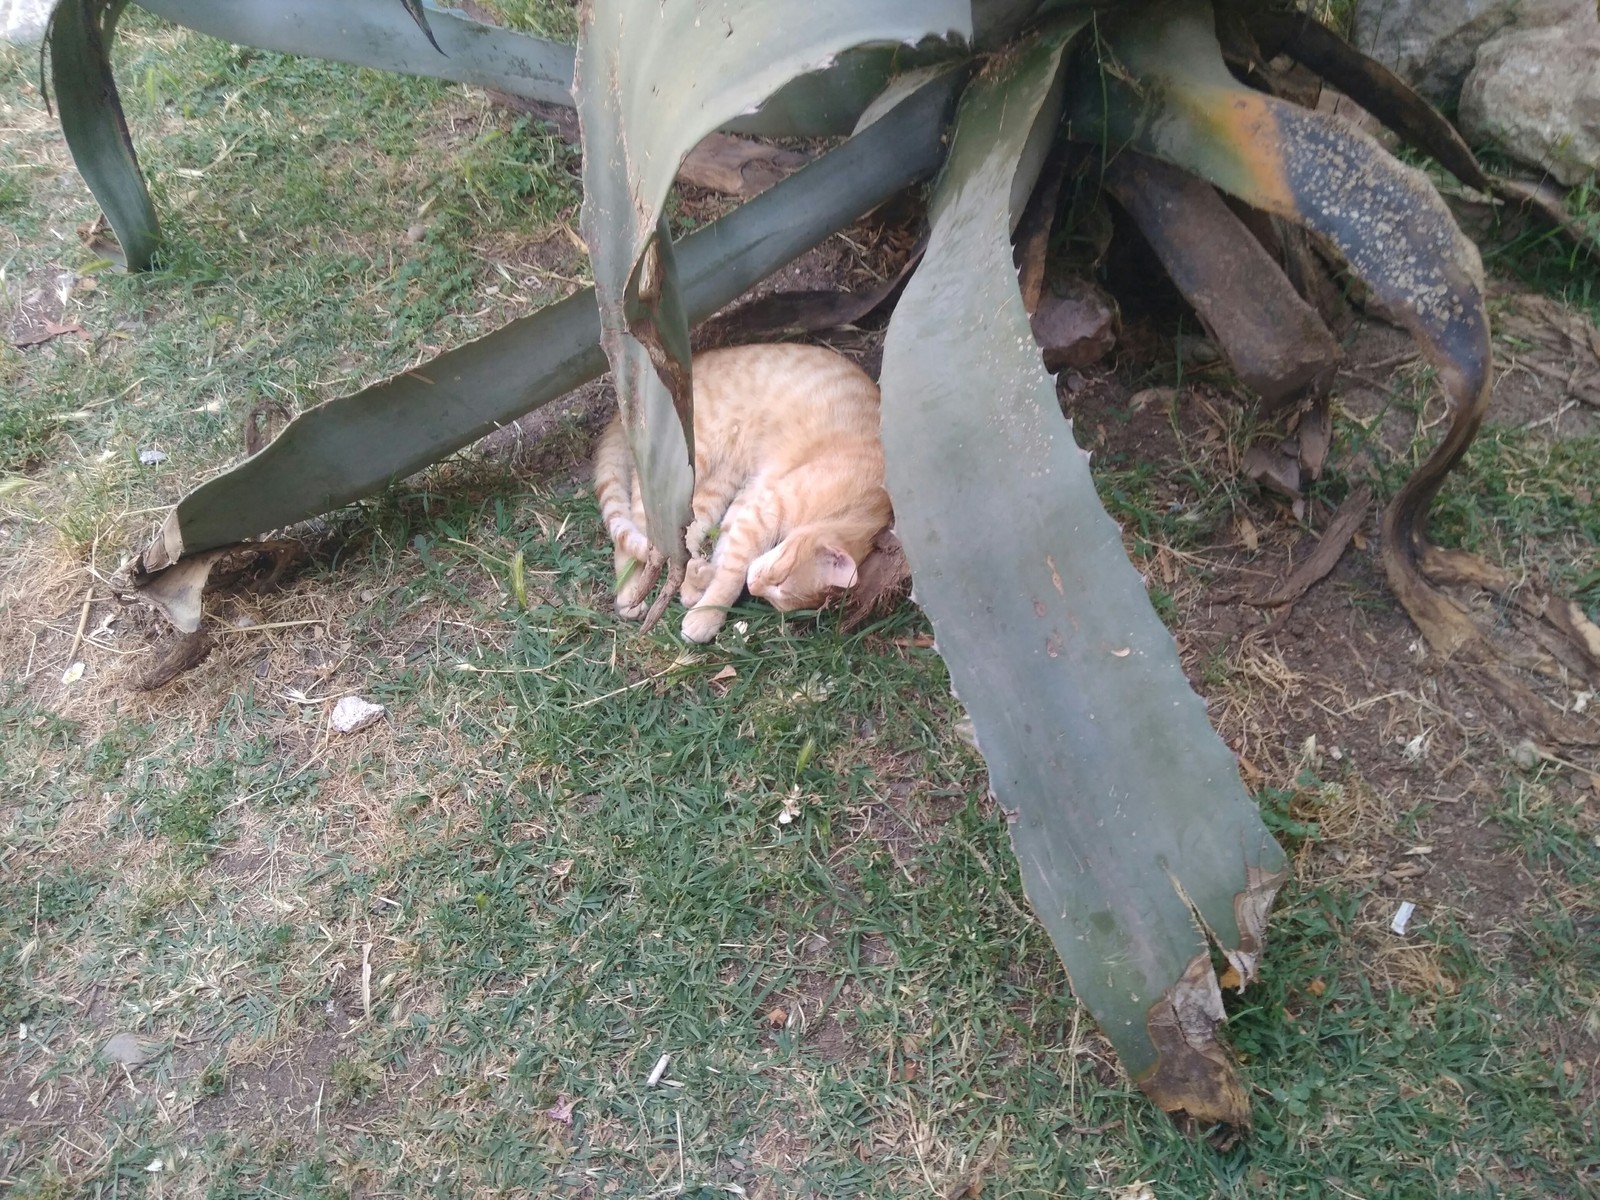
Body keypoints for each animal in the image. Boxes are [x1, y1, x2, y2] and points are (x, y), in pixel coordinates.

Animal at [592, 342, 889, 643]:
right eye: (779, 581)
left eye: (776, 598)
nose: (754, 586)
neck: (856, 506)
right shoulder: (765, 510)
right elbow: (731, 574)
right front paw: (706, 617)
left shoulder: (751, 501)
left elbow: (725, 554)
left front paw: (701, 589)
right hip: (683, 460)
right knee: (641, 529)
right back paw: (630, 593)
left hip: (716, 482)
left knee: (687, 533)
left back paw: (690, 579)